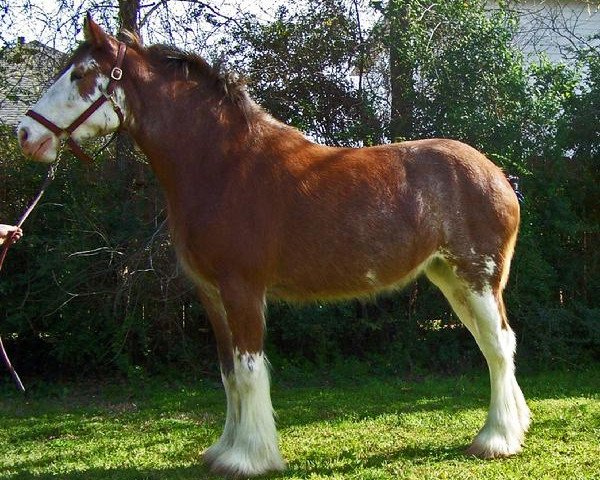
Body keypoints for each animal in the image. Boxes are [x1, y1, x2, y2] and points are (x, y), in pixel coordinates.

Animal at [17, 14, 528, 476]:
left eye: (80, 74)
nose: (25, 134)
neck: (221, 166)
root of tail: (498, 175)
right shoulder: (211, 294)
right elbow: (227, 373)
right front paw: (224, 450)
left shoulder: (242, 289)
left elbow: (248, 371)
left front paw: (249, 458)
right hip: (451, 280)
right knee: (493, 344)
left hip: (477, 277)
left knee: (498, 345)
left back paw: (495, 440)